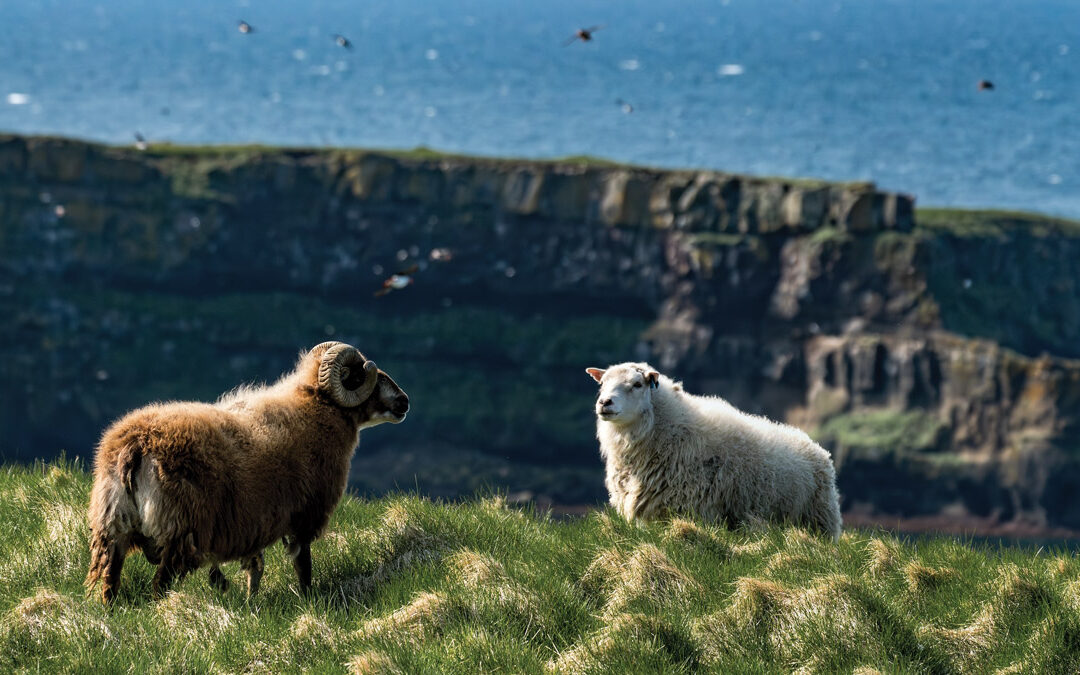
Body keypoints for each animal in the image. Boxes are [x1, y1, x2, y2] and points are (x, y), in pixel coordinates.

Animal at [583, 360, 842, 540]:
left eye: (637, 384)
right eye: (602, 384)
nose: (604, 403)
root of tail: (813, 444)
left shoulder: (691, 508)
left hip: (819, 517)